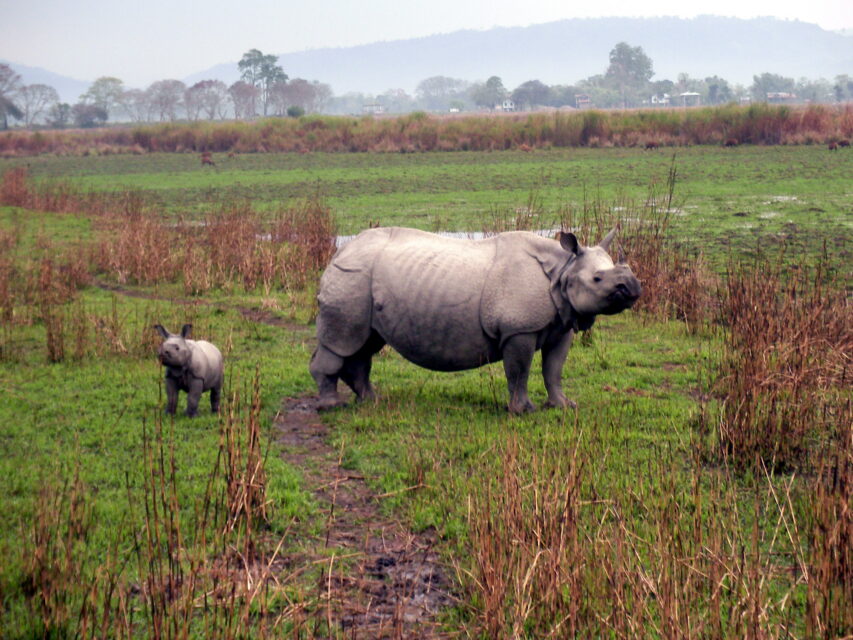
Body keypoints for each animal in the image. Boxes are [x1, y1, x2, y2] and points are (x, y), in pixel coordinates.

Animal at [310, 227, 641, 414]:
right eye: (598, 279)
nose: (634, 287)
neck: (563, 269)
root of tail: (339, 251)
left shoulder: (561, 324)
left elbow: (554, 369)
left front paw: (564, 406)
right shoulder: (518, 329)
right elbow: (519, 372)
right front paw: (523, 411)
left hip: (363, 281)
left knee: (365, 343)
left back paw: (372, 401)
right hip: (351, 276)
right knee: (342, 341)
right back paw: (332, 407)